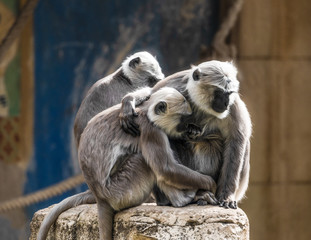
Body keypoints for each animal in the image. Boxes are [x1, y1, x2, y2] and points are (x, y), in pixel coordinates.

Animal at [37, 87, 218, 240]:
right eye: (182, 120)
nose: (187, 128)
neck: (146, 111)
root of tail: (99, 195)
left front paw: (128, 103)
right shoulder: (149, 129)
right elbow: (166, 169)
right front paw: (210, 184)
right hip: (122, 190)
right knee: (144, 161)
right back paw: (184, 200)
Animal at [120, 61, 254, 209]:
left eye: (229, 93)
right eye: (220, 93)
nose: (226, 103)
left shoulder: (233, 106)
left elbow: (235, 142)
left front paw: (227, 196)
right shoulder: (177, 84)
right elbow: (152, 95)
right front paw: (129, 101)